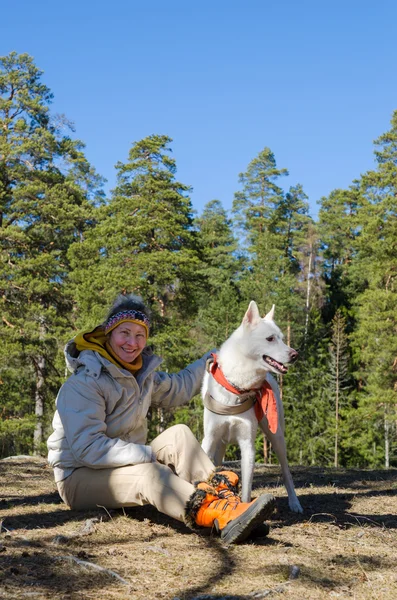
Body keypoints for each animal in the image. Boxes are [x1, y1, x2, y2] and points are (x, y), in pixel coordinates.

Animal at [203, 302, 302, 512]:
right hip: (220, 443)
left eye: (282, 338)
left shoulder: (247, 445)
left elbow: (247, 490)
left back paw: (294, 502)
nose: (295, 354)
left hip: (277, 437)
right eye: (270, 338)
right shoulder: (209, 438)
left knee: (286, 473)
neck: (237, 387)